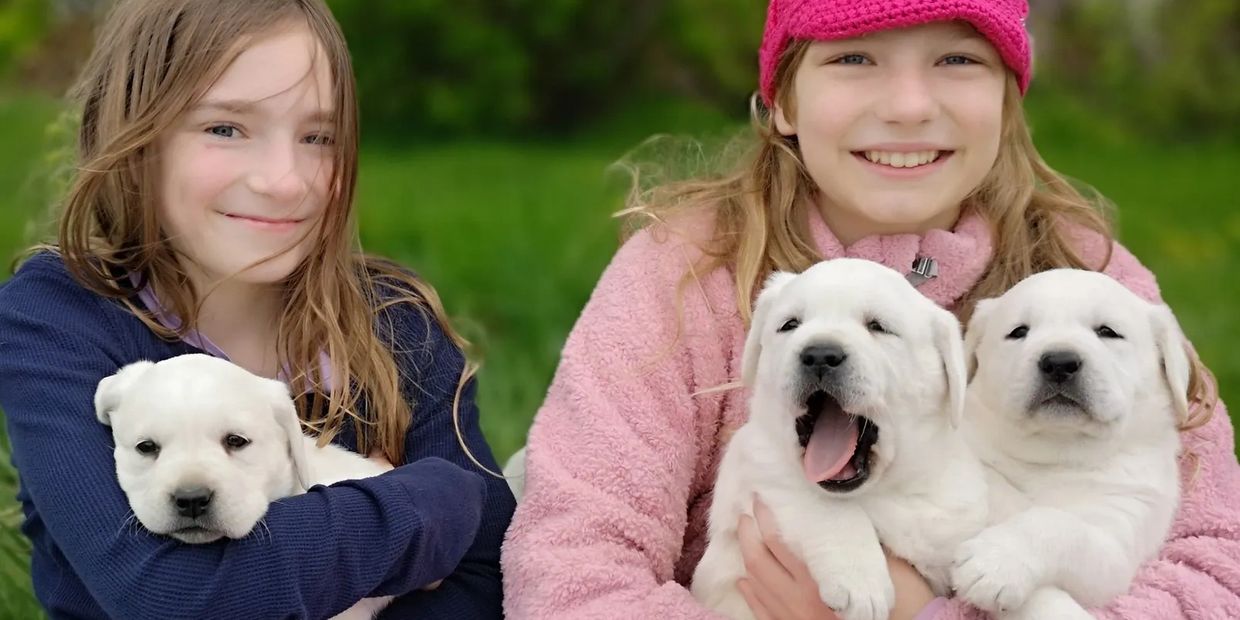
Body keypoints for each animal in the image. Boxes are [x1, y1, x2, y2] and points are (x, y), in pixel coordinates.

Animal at [689, 256, 987, 620]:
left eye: (878, 326)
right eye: (790, 324)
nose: (819, 354)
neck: (879, 494)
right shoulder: (758, 469)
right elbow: (823, 503)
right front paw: (860, 582)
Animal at [952, 270, 1185, 620]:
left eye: (1107, 332)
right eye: (1019, 332)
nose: (1060, 362)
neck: (1059, 451)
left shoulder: (1116, 542)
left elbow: (1059, 523)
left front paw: (996, 562)